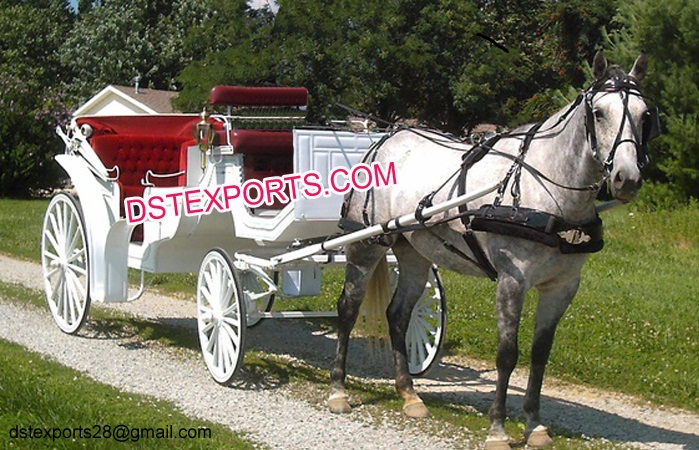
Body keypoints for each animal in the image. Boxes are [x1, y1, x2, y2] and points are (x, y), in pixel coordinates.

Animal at [327, 51, 658, 449]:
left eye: (645, 114)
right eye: (599, 113)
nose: (627, 178)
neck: (547, 192)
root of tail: (386, 139)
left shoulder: (562, 287)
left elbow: (540, 353)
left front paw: (534, 425)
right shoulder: (511, 281)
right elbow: (507, 354)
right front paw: (498, 428)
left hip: (414, 252)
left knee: (398, 315)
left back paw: (409, 395)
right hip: (365, 243)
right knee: (347, 309)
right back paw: (338, 389)